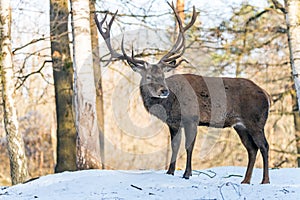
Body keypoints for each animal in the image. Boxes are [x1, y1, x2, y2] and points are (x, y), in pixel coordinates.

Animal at [95, 1, 270, 184]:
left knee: (264, 146)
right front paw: (170, 172)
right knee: (252, 148)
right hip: (240, 125)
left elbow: (188, 146)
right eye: (148, 76)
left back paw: (265, 180)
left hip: (256, 121)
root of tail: (266, 95)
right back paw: (245, 180)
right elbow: (175, 146)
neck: (171, 105)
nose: (163, 90)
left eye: (163, 75)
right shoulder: (173, 123)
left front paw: (187, 174)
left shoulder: (191, 118)